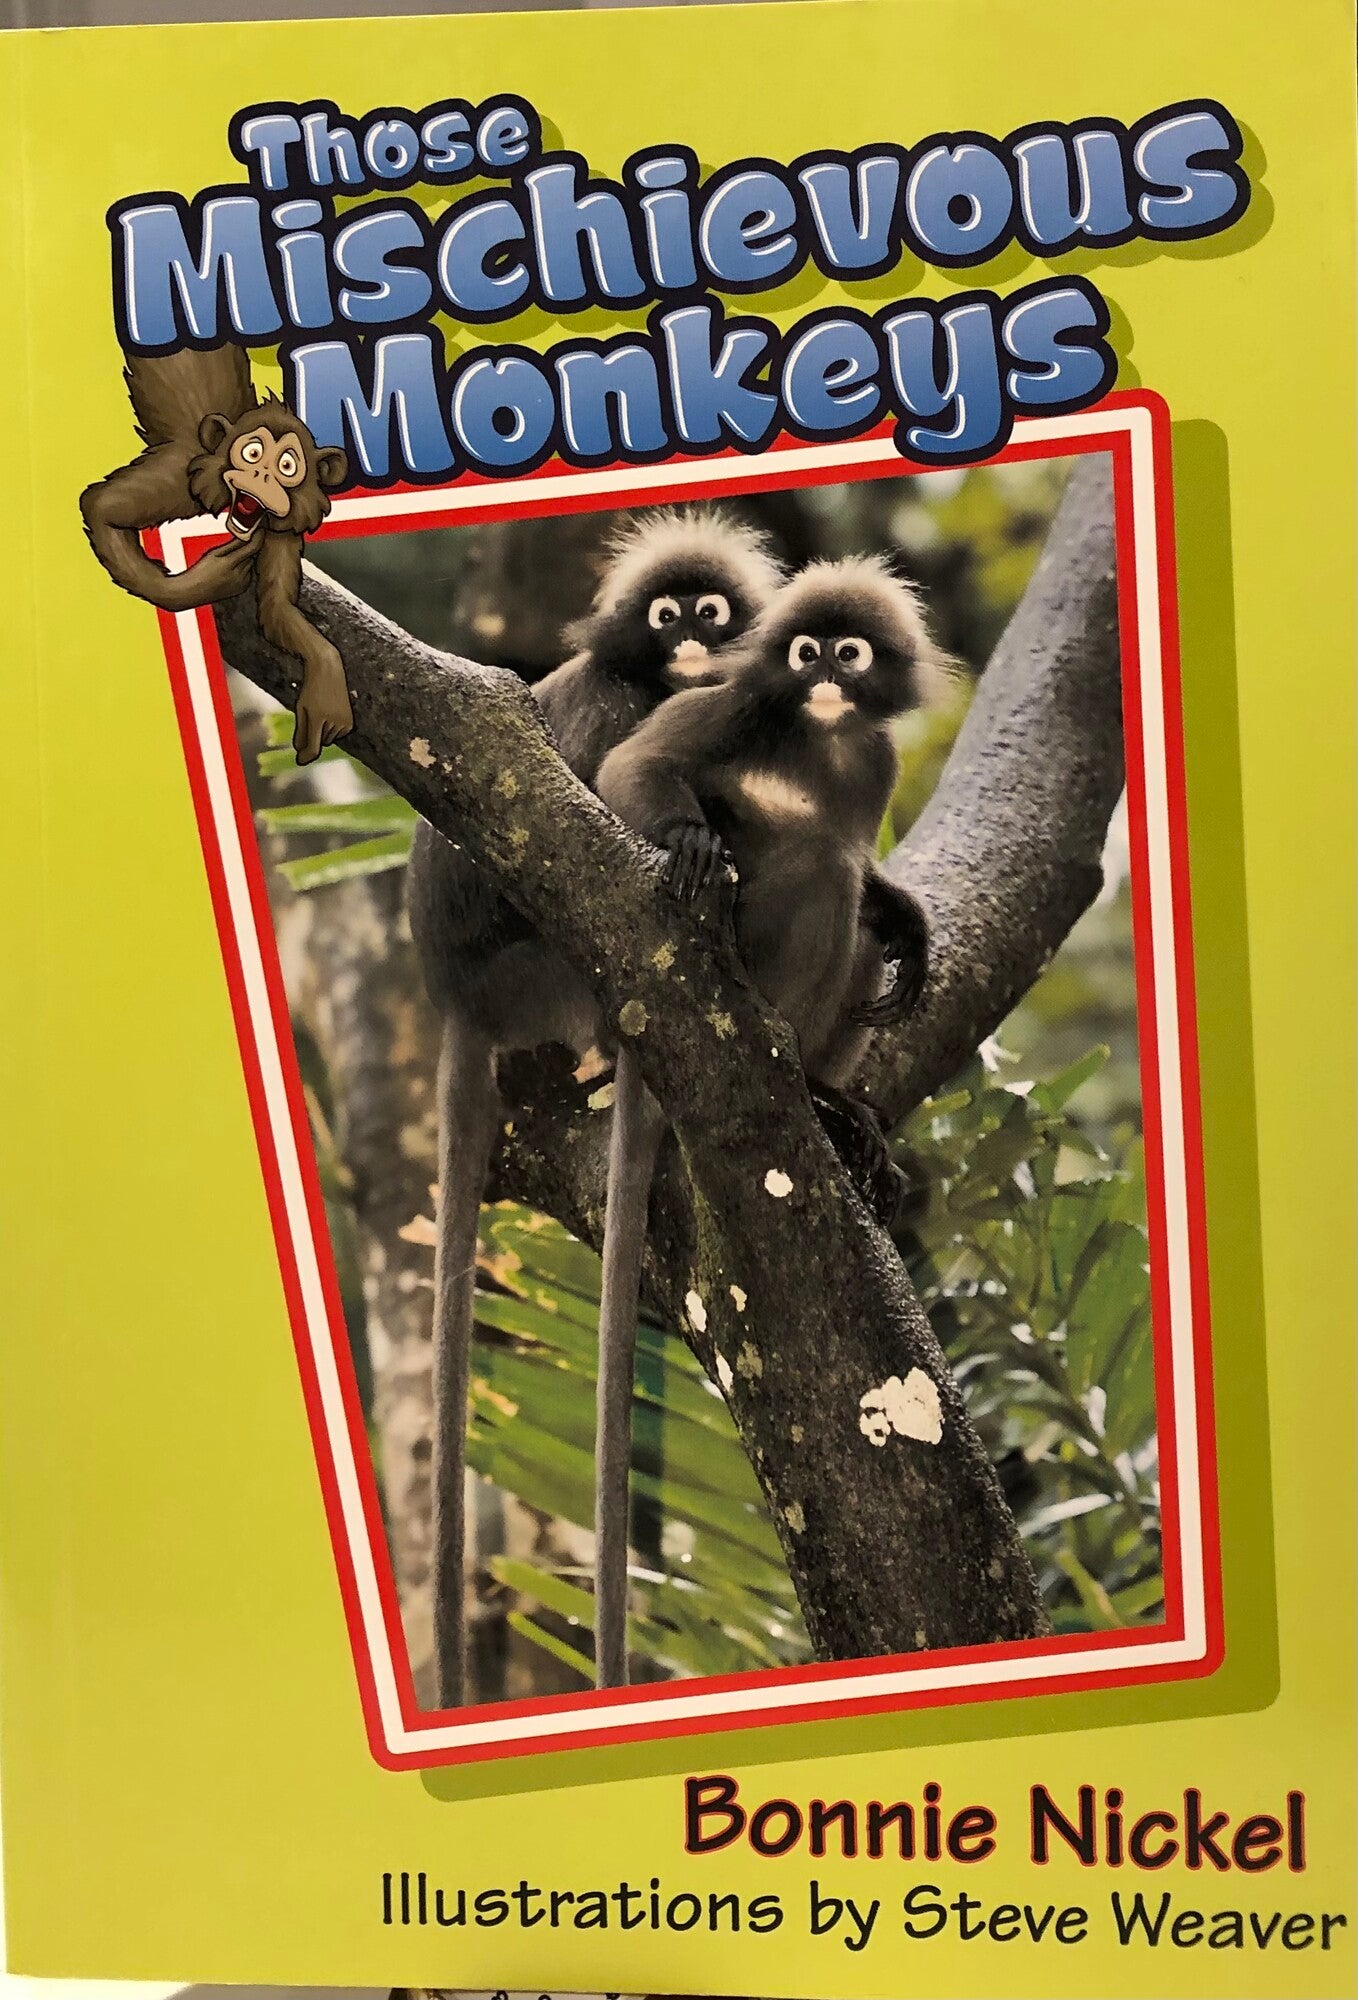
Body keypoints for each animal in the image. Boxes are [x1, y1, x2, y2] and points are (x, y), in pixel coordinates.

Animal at [79, 343, 352, 765]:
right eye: (252, 453)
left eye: (287, 465)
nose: (263, 476)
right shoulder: (176, 482)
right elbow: (98, 508)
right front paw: (214, 578)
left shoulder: (281, 532)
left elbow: (276, 608)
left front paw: (326, 679)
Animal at [404, 508, 785, 1707]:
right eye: (668, 615)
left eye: (711, 611)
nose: (693, 640)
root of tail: (456, 997)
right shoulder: (621, 708)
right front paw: (695, 848)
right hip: (544, 971)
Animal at [592, 558, 939, 1674]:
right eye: (804, 648)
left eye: (850, 652)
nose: (824, 670)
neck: (821, 739)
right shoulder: (739, 702)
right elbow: (634, 766)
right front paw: (688, 833)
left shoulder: (873, 756)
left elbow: (871, 871)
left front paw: (908, 918)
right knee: (813, 862)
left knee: (845, 880)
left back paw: (835, 1104)